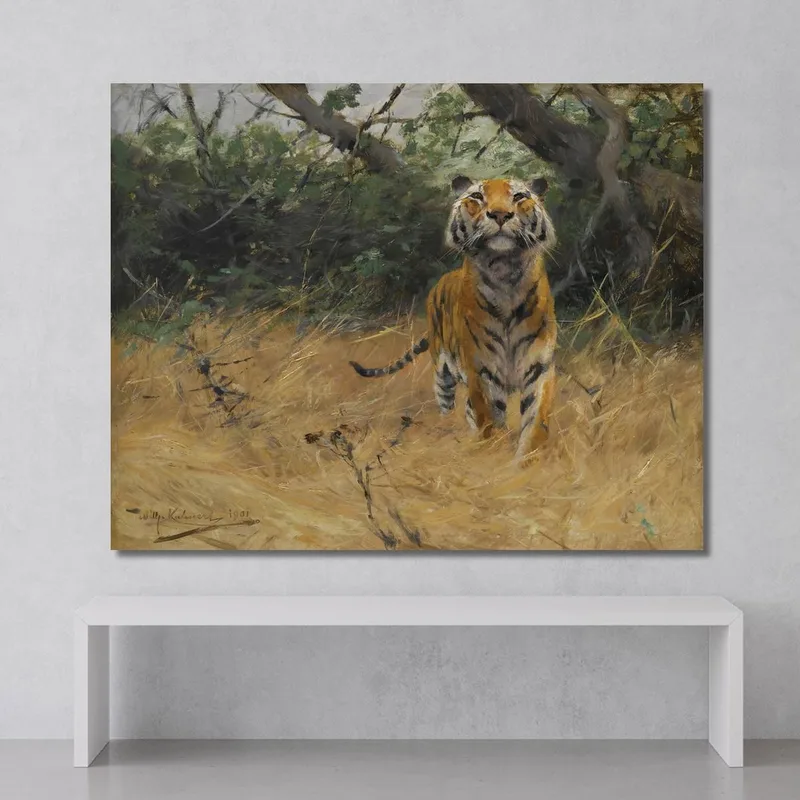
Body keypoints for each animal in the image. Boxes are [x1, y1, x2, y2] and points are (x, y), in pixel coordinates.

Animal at [349, 175, 557, 462]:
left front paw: (527, 461)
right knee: (450, 405)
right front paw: (493, 456)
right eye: (477, 196)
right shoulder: (481, 368)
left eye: (519, 196)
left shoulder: (539, 366)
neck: (504, 272)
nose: (500, 214)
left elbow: (535, 420)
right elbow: (490, 418)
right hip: (442, 374)